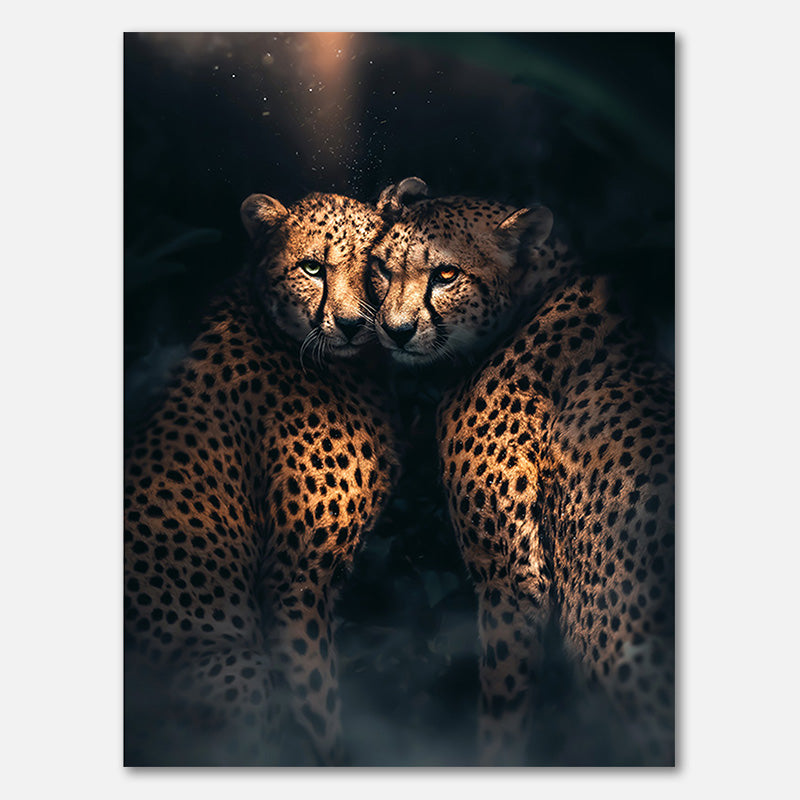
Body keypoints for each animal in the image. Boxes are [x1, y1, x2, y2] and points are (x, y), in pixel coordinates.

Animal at [124, 190, 400, 766]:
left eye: (377, 267)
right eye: (313, 268)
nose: (350, 324)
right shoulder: (296, 579)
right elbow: (318, 706)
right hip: (236, 666)